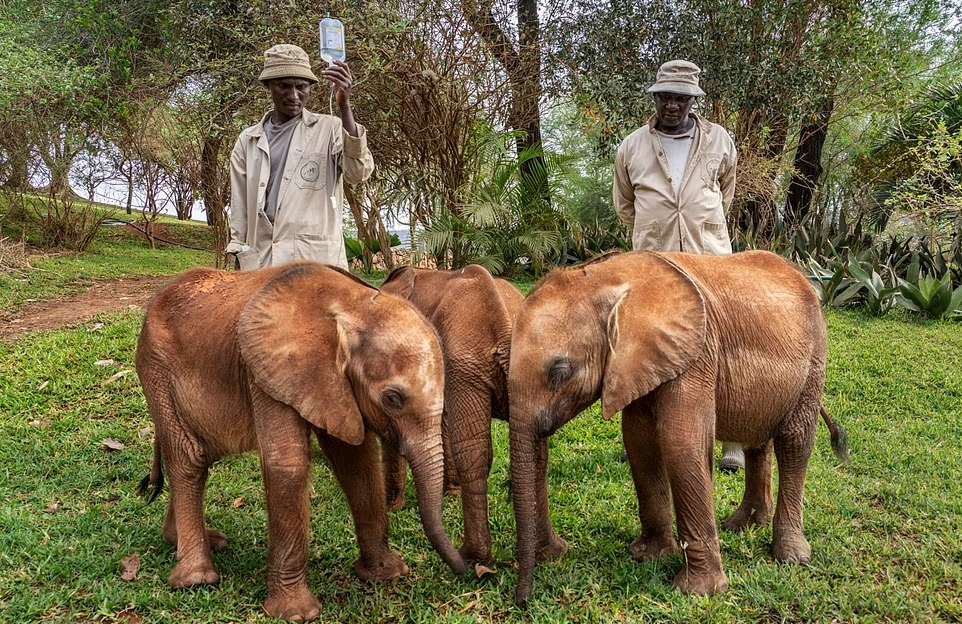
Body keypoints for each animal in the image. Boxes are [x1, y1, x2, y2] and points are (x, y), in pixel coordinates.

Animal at [135, 260, 464, 620]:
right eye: (393, 398)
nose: (476, 569)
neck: (352, 303)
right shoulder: (267, 369)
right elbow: (287, 464)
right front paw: (296, 614)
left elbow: (357, 461)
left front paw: (386, 575)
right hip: (156, 368)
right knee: (188, 459)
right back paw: (196, 579)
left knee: (200, 455)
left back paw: (194, 541)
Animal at [506, 250, 844, 604]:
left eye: (560, 372)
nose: (523, 600)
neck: (606, 277)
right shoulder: (642, 363)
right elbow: (639, 442)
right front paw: (648, 556)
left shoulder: (696, 354)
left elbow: (680, 444)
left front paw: (698, 592)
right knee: (756, 439)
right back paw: (744, 525)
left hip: (815, 359)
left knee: (794, 443)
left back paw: (791, 556)